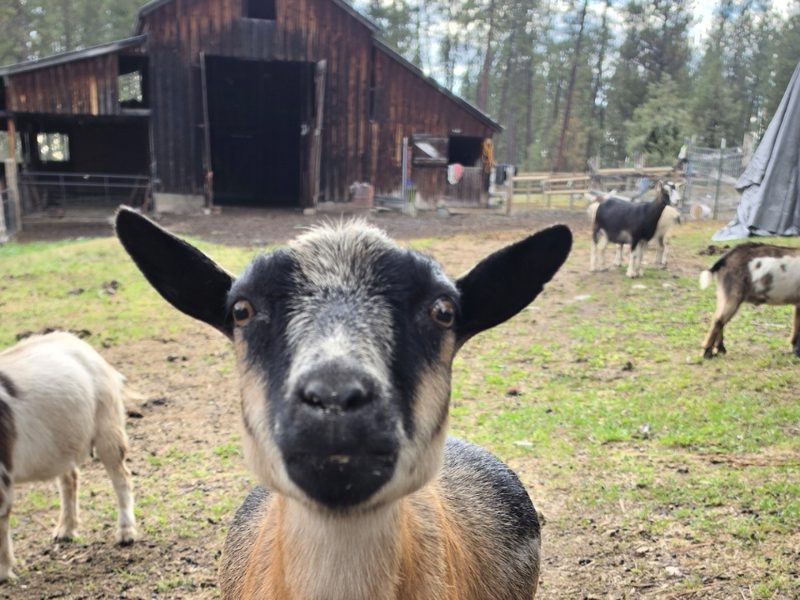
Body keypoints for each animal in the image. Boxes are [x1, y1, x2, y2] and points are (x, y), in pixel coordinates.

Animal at [0, 332, 136, 581]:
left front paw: (3, 573)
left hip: (107, 424)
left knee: (121, 477)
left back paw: (126, 533)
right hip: (61, 442)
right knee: (69, 477)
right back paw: (65, 530)